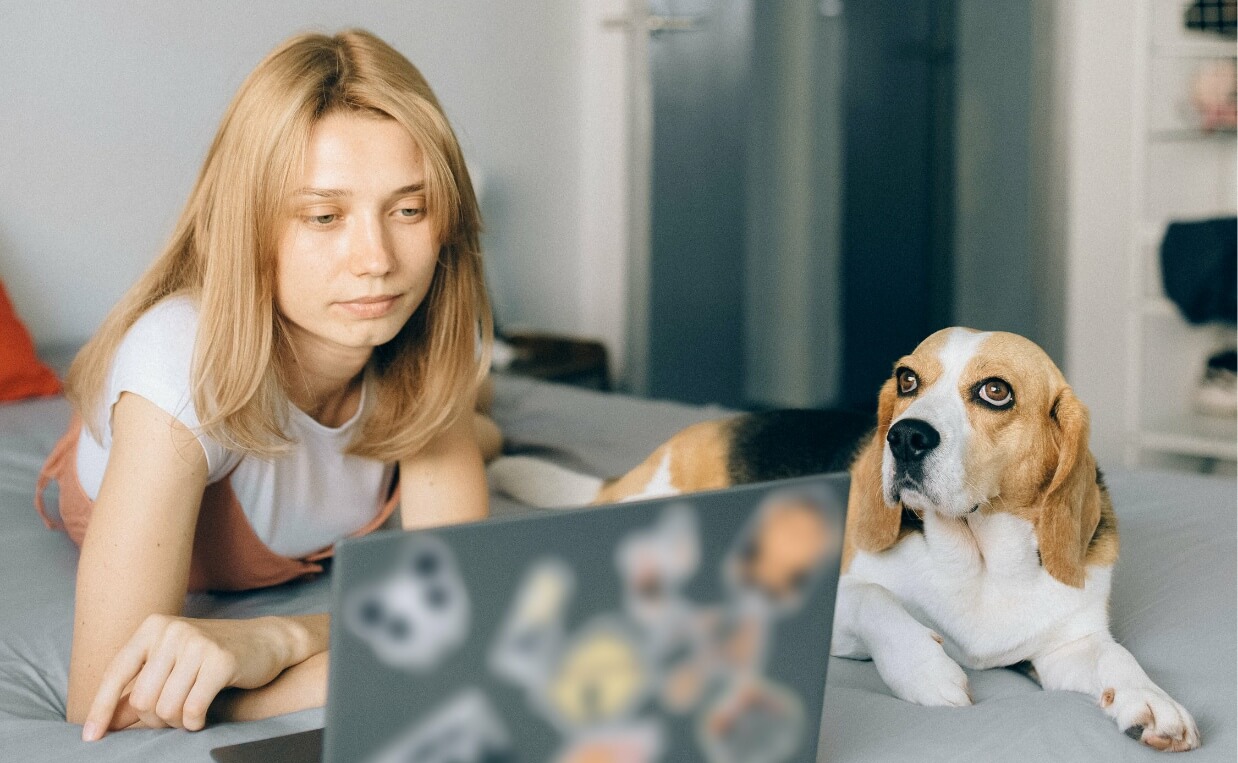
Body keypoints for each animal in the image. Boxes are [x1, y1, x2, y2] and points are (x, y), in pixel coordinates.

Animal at [492, 327, 1198, 753]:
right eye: (908, 380)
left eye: (996, 391)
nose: (905, 436)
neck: (978, 560)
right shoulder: (836, 607)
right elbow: (874, 601)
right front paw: (926, 668)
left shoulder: (1064, 647)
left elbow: (1117, 659)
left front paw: (1153, 701)